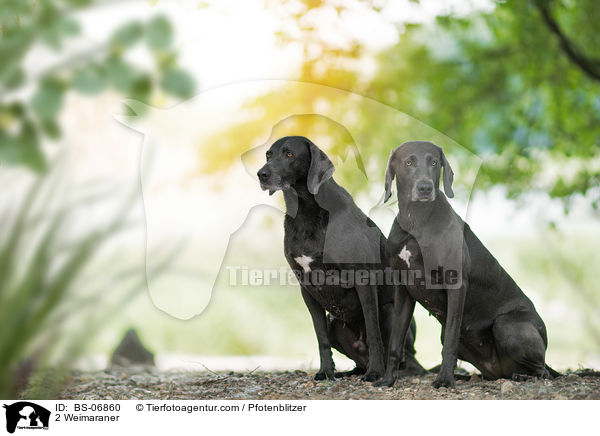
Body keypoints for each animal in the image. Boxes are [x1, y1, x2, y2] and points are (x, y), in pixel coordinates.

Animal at [255, 136, 424, 382]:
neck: (307, 213)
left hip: (390, 313)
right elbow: (321, 338)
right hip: (334, 321)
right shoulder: (307, 289)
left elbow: (373, 331)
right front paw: (326, 372)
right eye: (268, 154)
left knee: (402, 356)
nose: (262, 174)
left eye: (289, 154)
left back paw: (384, 370)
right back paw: (352, 371)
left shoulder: (363, 280)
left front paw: (374, 374)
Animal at [378, 141, 560, 388]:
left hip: (507, 325)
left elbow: (450, 342)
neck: (416, 221)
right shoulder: (403, 290)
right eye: (408, 162)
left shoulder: (456, 285)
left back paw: (523, 376)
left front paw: (444, 380)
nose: (425, 188)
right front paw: (387, 380)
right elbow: (396, 342)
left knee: (543, 371)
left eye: (434, 162)